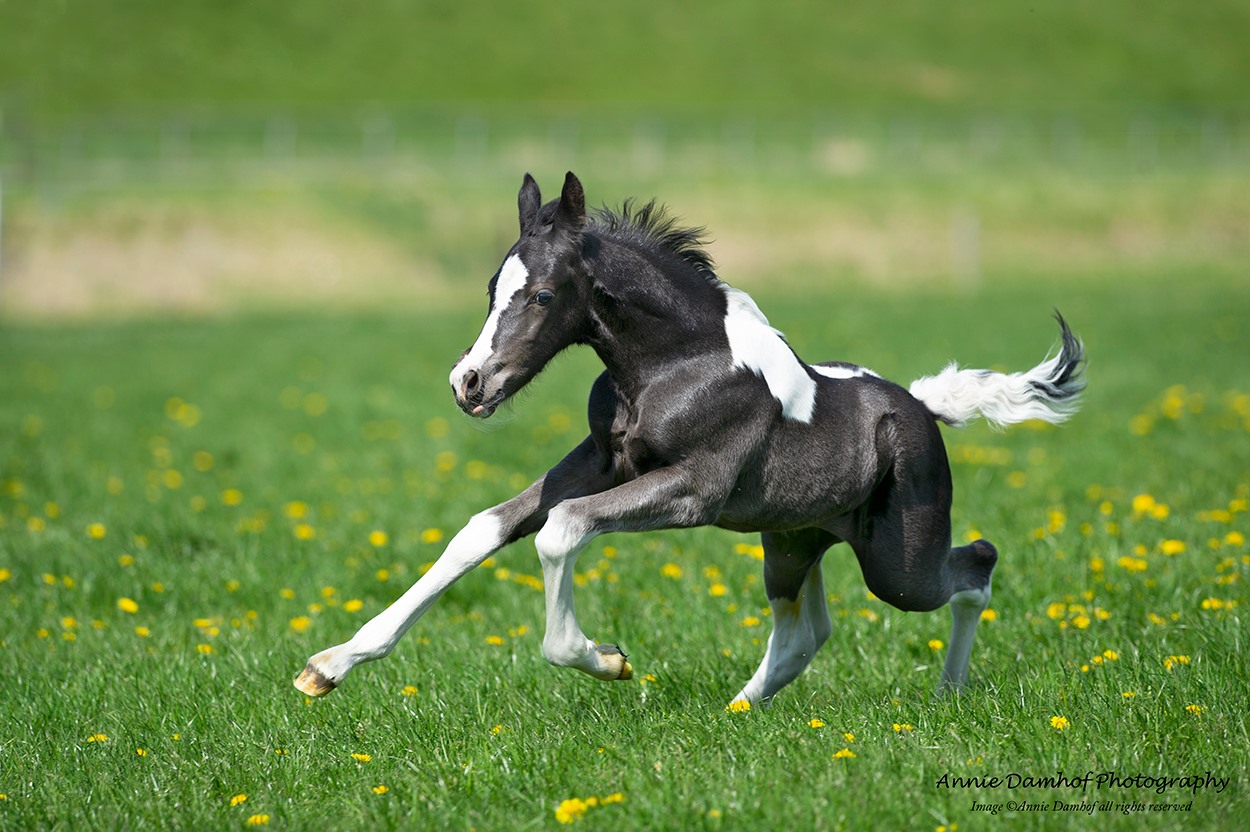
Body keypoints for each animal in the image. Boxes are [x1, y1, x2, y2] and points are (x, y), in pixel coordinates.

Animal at [295, 171, 1085, 704]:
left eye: (544, 295)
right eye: (492, 289)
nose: (469, 383)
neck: (677, 362)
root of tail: (921, 407)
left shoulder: (693, 492)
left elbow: (559, 530)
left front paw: (604, 658)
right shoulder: (601, 461)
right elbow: (483, 530)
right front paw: (328, 666)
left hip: (898, 563)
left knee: (974, 566)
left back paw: (948, 690)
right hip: (794, 538)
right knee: (805, 629)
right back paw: (740, 708)